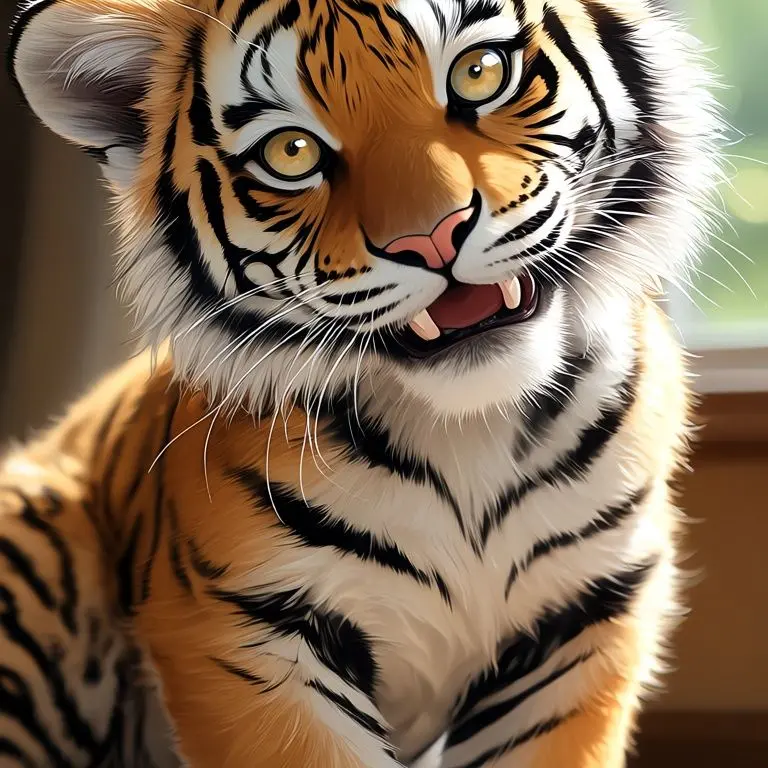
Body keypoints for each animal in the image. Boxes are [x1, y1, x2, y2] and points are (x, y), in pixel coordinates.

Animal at [2, 0, 722, 765]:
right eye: (291, 152)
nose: (431, 238)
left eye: (479, 72)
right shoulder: (244, 630)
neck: (469, 426)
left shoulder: (583, 620)